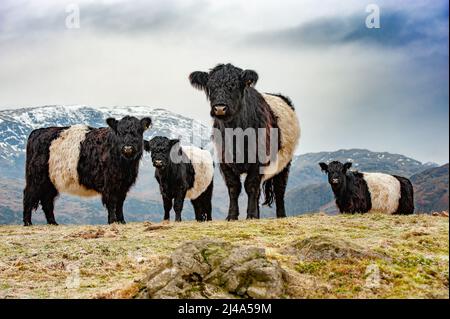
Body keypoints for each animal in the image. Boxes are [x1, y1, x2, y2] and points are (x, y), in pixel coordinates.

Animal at [22, 116, 152, 226]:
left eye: (138, 131)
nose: (128, 148)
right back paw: (28, 222)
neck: (125, 165)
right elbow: (111, 202)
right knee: (29, 195)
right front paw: (112, 221)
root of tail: (37, 132)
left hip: (51, 182)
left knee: (47, 200)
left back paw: (53, 223)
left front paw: (122, 221)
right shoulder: (109, 184)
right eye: (119, 132)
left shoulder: (124, 185)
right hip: (36, 178)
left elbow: (120, 203)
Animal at [188, 63, 300, 221]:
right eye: (211, 86)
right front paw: (232, 216)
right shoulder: (224, 161)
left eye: (234, 86)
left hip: (285, 162)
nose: (220, 108)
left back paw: (281, 215)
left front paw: (251, 215)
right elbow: (233, 187)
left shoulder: (258, 161)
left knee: (279, 188)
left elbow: (251, 186)